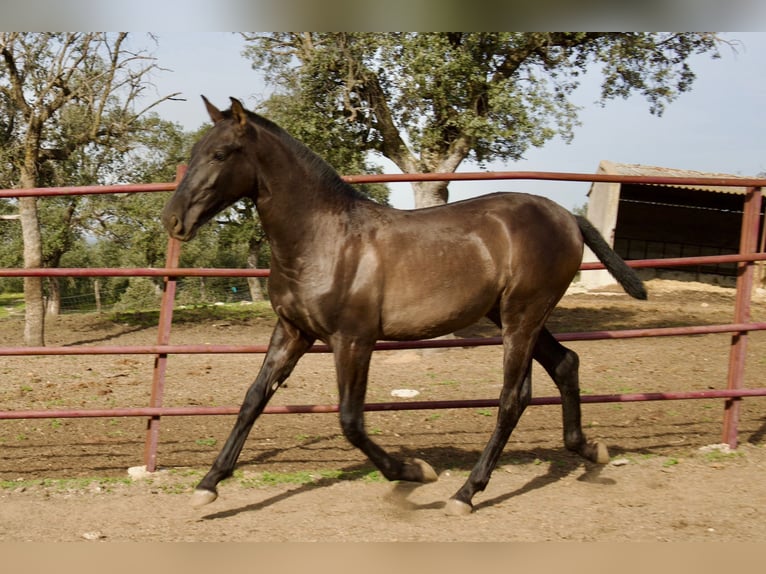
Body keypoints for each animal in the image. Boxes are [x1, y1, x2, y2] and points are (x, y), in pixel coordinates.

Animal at [164, 97, 648, 520]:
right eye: (195, 152)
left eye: (220, 154)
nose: (173, 220)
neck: (323, 240)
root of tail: (568, 218)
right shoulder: (292, 331)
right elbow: (252, 400)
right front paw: (207, 485)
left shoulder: (353, 339)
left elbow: (351, 420)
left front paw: (414, 471)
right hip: (514, 314)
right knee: (566, 363)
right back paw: (590, 450)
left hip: (522, 316)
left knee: (515, 397)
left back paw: (466, 493)